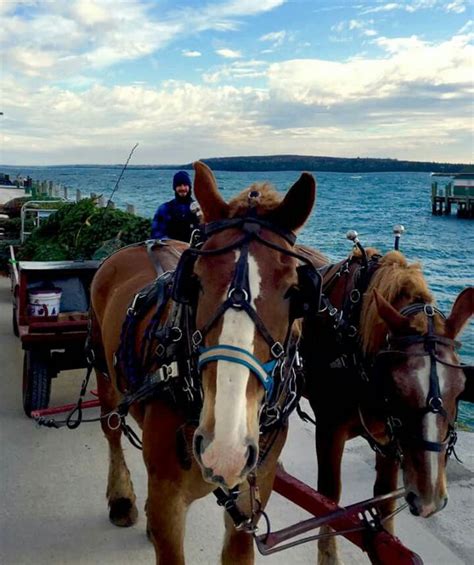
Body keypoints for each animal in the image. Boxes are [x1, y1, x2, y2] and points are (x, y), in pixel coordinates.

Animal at [89, 161, 318, 560]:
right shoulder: (168, 500)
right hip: (105, 372)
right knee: (112, 428)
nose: (225, 447)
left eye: (295, 291)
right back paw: (121, 498)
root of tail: (142, 243)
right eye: (194, 282)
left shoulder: (248, 503)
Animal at [302, 243, 472, 564]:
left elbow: (384, 501)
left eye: (460, 389)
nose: (430, 501)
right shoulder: (329, 432)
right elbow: (328, 501)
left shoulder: (390, 437)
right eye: (396, 387)